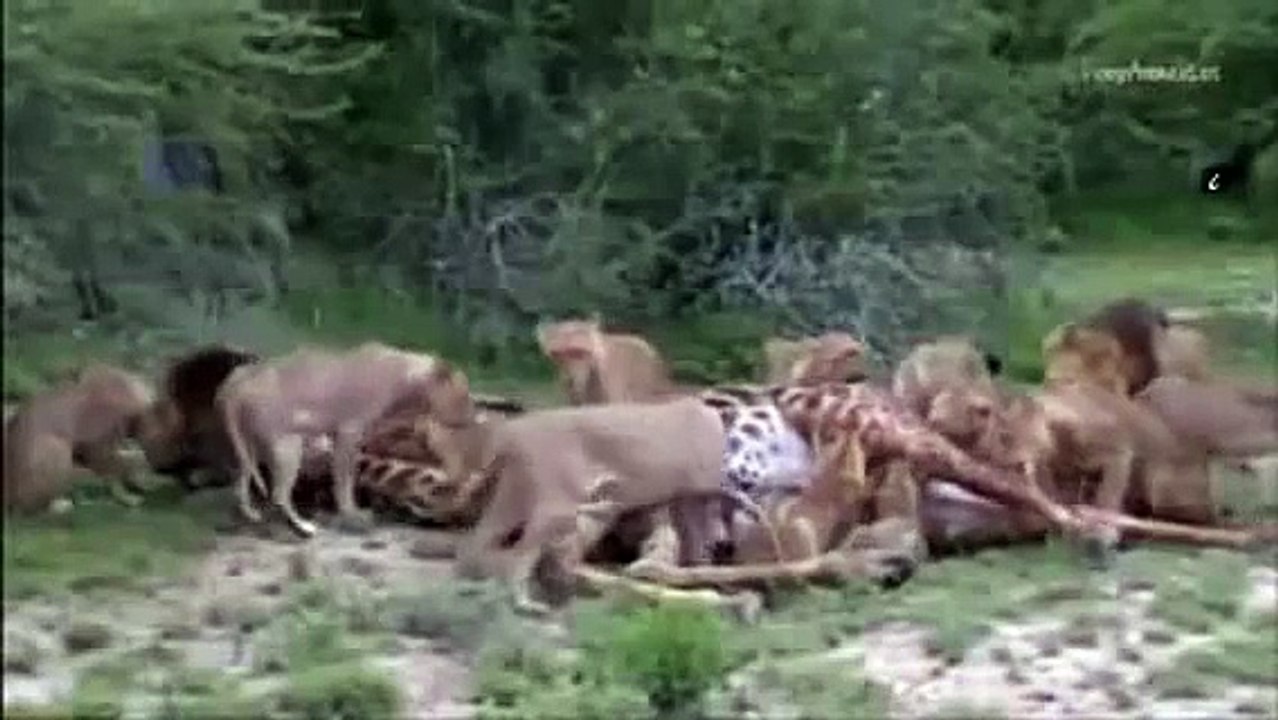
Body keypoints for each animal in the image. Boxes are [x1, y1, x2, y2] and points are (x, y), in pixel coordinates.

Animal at [216, 342, 476, 537]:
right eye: (463, 395)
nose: (474, 417)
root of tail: (236, 381)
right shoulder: (349, 434)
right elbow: (345, 479)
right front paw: (351, 512)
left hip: (249, 446)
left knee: (241, 482)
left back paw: (251, 513)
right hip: (288, 446)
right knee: (279, 493)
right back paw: (305, 528)